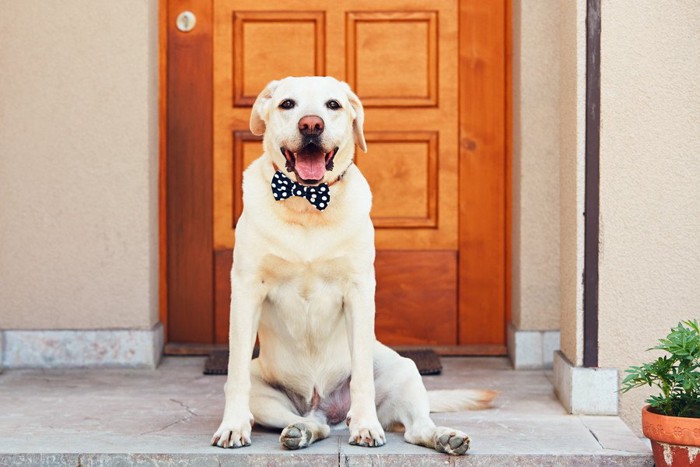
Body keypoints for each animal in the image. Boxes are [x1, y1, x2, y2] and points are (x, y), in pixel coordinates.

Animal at [211, 76, 494, 454]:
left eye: (333, 105)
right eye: (287, 104)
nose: (311, 125)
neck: (307, 204)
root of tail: (323, 405)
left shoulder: (359, 291)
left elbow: (361, 376)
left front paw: (365, 425)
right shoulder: (246, 290)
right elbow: (235, 373)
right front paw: (233, 426)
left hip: (404, 369)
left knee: (416, 428)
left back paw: (444, 436)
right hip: (267, 394)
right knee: (312, 424)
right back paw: (301, 431)